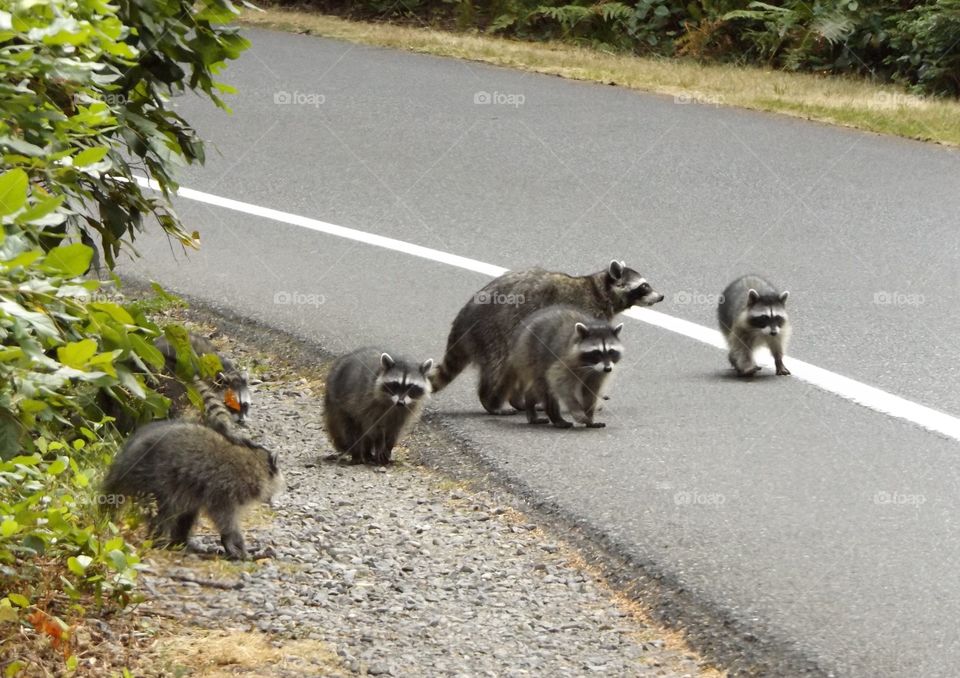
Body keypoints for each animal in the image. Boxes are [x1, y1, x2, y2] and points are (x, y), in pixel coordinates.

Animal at [102, 422, 283, 560]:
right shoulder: (225, 488)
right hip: (156, 480)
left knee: (186, 514)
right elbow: (224, 517)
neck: (257, 463)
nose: (273, 500)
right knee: (163, 513)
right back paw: (159, 540)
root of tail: (124, 461)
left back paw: (181, 541)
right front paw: (233, 541)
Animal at [431, 260, 661, 414]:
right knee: (499, 365)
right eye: (643, 286)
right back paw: (492, 401)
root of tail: (463, 319)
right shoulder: (585, 313)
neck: (599, 289)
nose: (661, 296)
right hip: (494, 332)